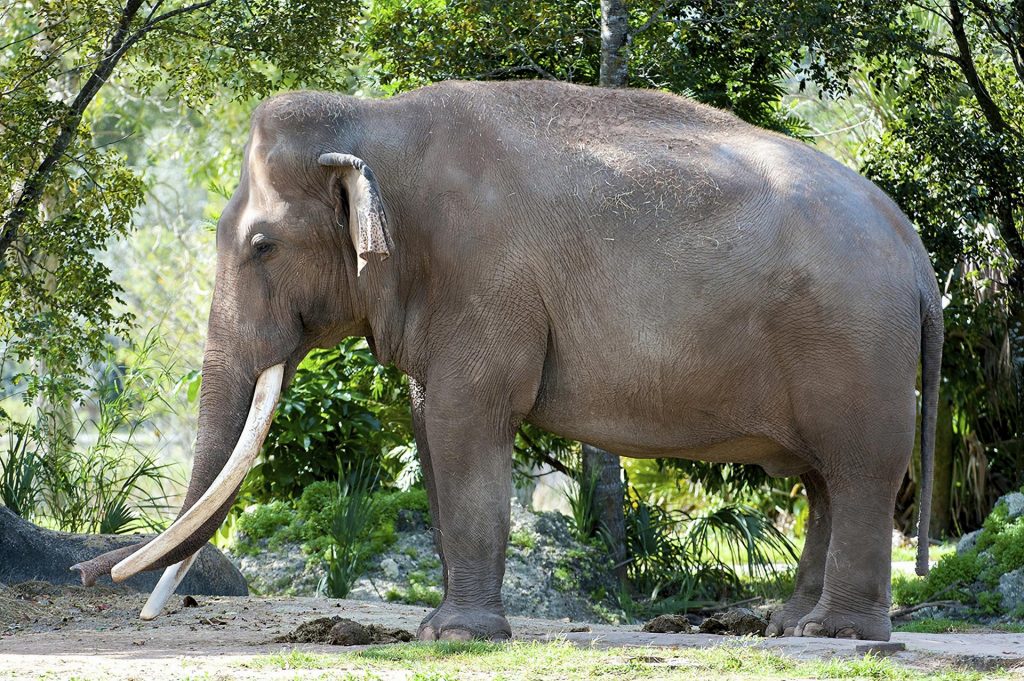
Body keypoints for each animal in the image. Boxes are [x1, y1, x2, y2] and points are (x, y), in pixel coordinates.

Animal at [72, 79, 942, 642]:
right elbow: (431, 423)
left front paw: (459, 636)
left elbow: (468, 419)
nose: (89, 577)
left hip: (856, 343)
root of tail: (917, 255)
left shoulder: (483, 276)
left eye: (260, 245)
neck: (375, 121)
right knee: (822, 479)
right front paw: (437, 627)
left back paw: (838, 635)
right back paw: (787, 624)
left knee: (860, 467)